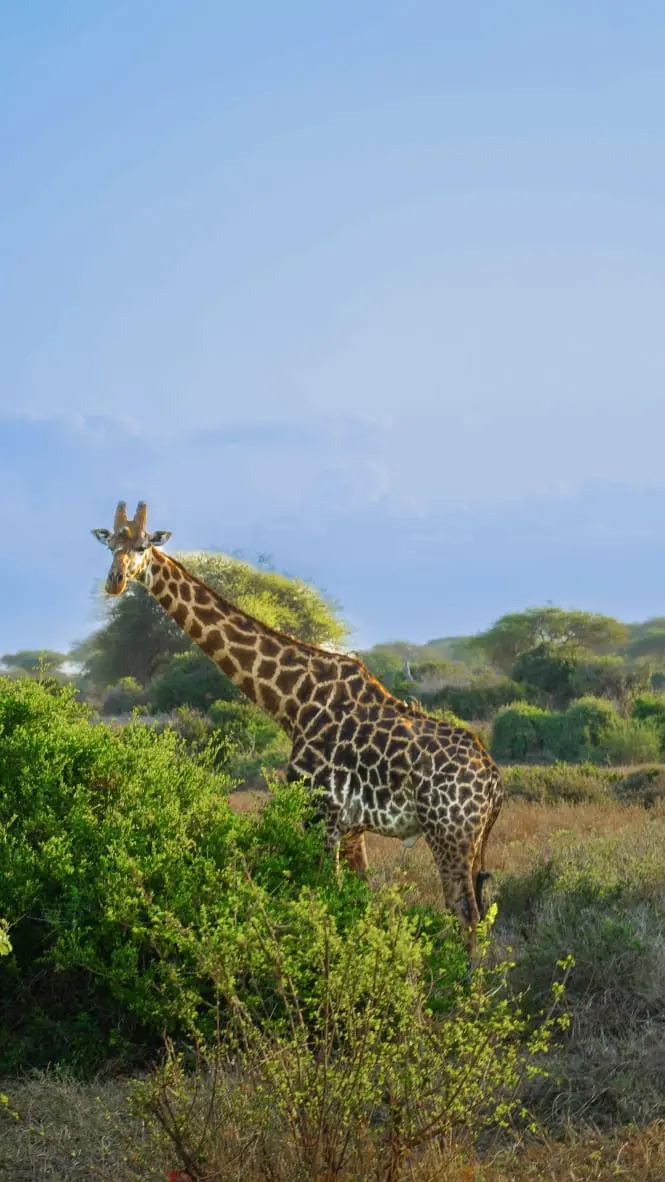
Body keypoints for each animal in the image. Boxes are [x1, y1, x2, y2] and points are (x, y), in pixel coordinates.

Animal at [92, 502, 504, 953]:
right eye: (110, 545)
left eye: (143, 546)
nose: (115, 581)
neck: (293, 700)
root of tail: (496, 783)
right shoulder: (351, 826)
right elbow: (356, 899)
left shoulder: (320, 812)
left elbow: (323, 893)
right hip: (472, 841)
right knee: (478, 914)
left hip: (450, 834)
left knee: (466, 915)